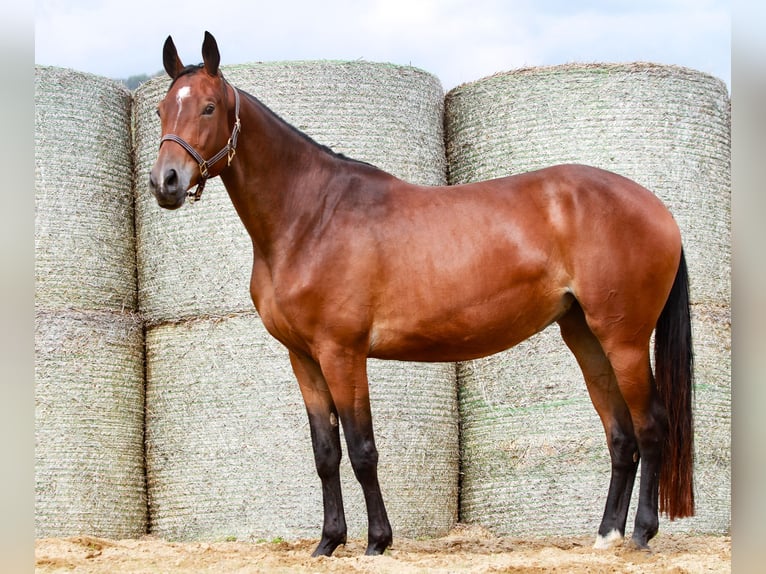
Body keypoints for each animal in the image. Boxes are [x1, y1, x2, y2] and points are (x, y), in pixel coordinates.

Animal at [148, 31, 696, 560]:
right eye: (160, 109)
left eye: (209, 107)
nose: (165, 182)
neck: (311, 217)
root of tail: (658, 209)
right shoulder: (303, 358)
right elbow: (326, 453)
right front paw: (328, 542)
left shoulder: (342, 354)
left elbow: (362, 449)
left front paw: (376, 541)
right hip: (584, 335)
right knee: (621, 436)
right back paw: (607, 535)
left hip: (624, 340)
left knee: (651, 427)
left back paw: (642, 533)